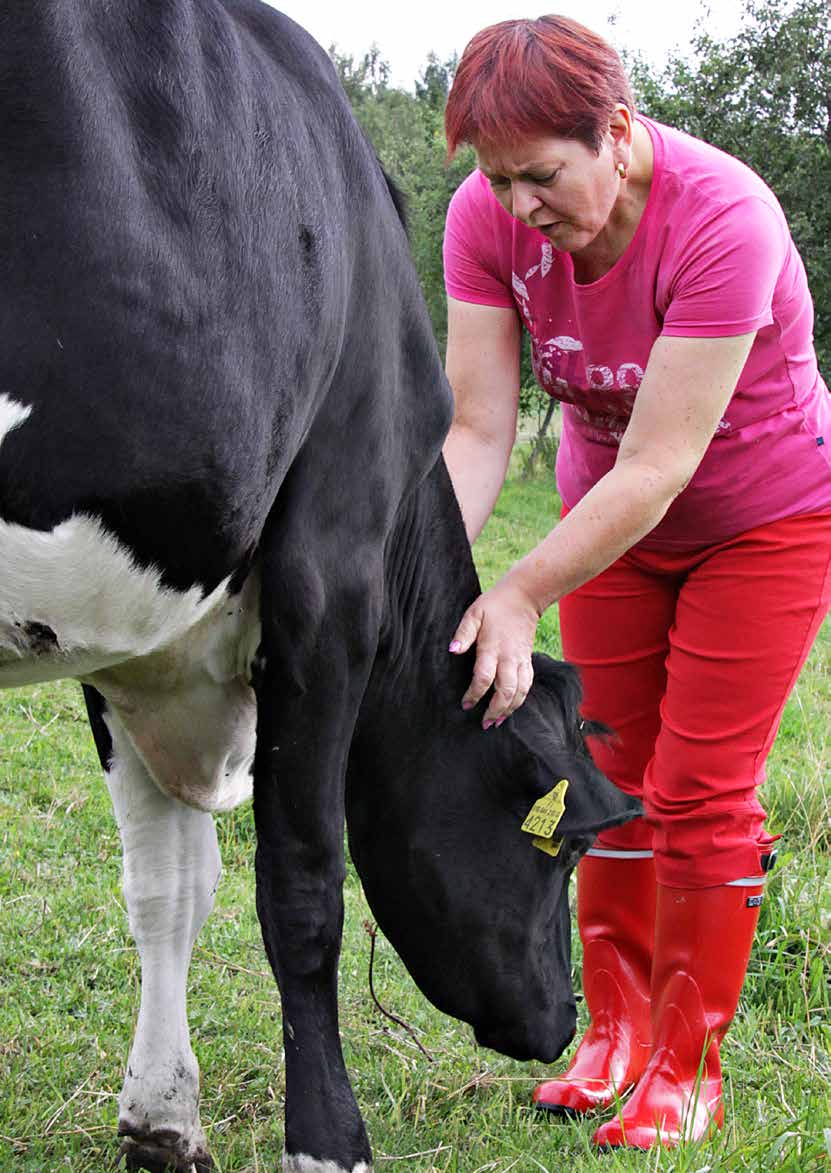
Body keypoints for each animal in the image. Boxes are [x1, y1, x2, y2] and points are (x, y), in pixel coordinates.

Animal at [0, 4, 638, 1168]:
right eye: (566, 846)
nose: (561, 1021)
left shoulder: (130, 641)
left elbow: (167, 885)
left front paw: (163, 1121)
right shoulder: (328, 587)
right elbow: (302, 887)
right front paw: (328, 1139)